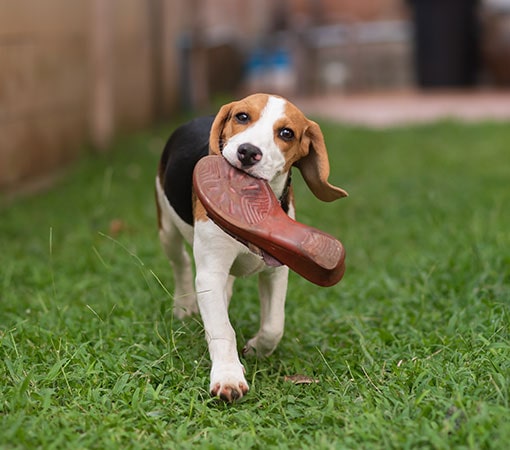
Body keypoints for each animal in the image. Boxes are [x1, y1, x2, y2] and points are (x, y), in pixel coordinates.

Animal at [154, 92, 346, 400]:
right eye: (242, 117)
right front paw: (228, 376)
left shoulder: (276, 271)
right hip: (167, 229)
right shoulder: (210, 273)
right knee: (180, 262)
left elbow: (274, 325)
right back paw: (184, 306)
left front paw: (256, 349)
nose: (248, 152)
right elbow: (222, 328)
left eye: (286, 133)